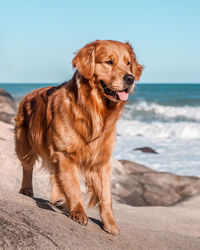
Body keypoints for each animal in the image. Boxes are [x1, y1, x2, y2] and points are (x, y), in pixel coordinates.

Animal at [14, 39, 142, 234]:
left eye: (128, 63)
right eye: (109, 62)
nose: (130, 78)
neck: (94, 111)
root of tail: (28, 94)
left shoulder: (102, 160)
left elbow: (106, 196)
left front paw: (110, 224)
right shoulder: (64, 153)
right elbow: (74, 186)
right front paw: (78, 212)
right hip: (24, 145)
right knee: (27, 168)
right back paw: (27, 189)